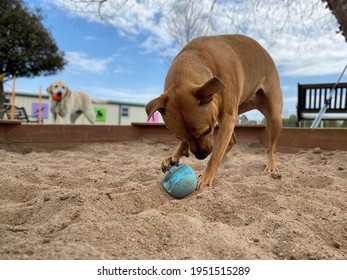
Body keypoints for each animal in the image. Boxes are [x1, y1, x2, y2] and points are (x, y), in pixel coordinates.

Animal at [145, 35, 284, 188]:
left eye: (206, 131)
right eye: (178, 137)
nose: (201, 156)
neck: (197, 57)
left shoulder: (228, 117)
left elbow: (216, 154)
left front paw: (206, 176)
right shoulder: (224, 117)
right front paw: (175, 155)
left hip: (274, 117)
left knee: (270, 147)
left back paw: (271, 164)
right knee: (232, 141)